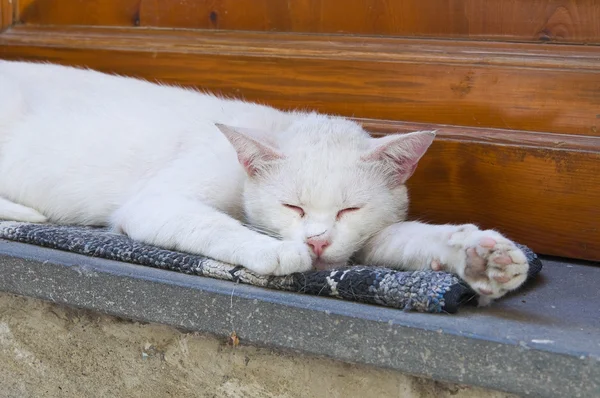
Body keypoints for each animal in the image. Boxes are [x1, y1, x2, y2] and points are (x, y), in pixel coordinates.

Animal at [0, 60, 528, 304]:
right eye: (293, 207)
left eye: (348, 210)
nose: (317, 242)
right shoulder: (156, 202)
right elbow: (217, 226)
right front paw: (276, 251)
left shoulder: (366, 236)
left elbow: (411, 239)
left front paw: (483, 258)